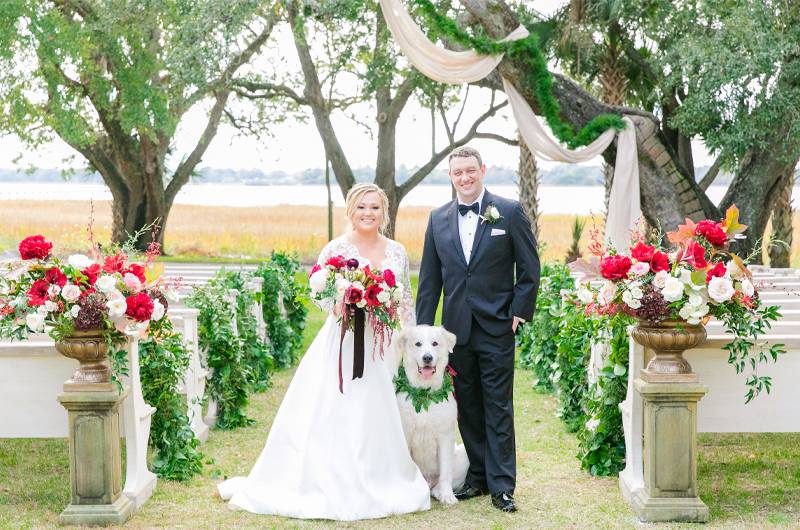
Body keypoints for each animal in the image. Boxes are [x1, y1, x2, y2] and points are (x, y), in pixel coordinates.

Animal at [392, 324, 468, 502]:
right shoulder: (405, 434)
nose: (427, 358)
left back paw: (439, 492)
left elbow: (446, 473)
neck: (424, 394)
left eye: (435, 343)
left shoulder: (445, 437)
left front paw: (447, 496)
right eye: (418, 344)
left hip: (464, 455)